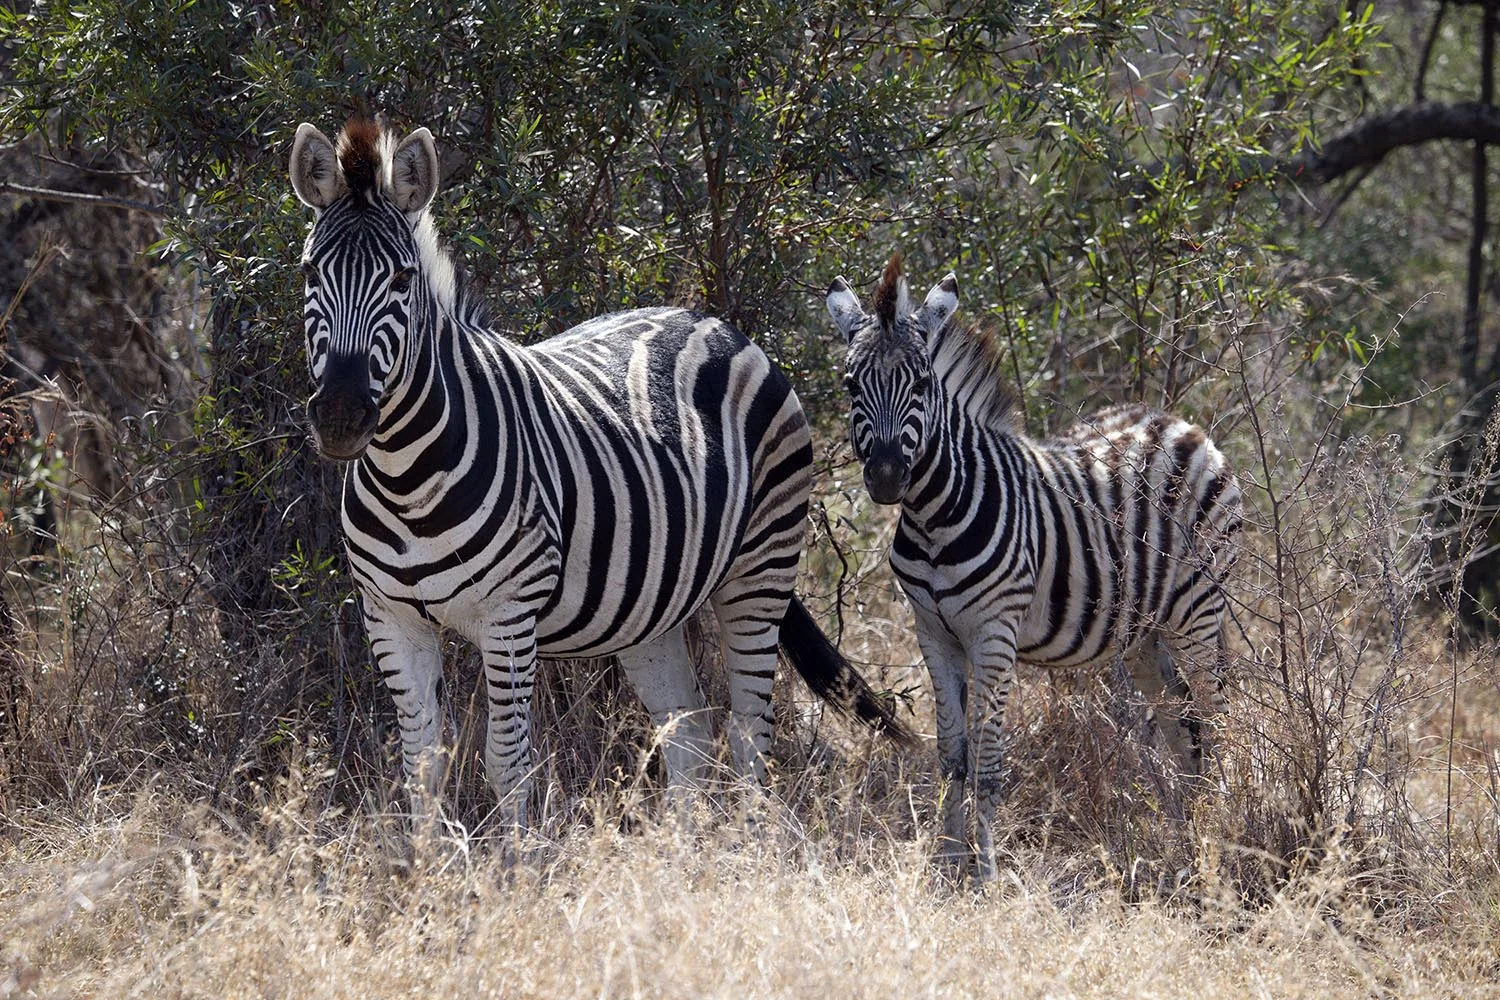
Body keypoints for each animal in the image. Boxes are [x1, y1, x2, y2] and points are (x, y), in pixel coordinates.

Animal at [286, 118, 909, 830]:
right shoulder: (391, 617)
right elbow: (422, 766)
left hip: (762, 565)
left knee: (751, 733)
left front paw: (516, 858)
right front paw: (429, 862)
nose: (340, 416)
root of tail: (712, 321)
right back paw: (679, 851)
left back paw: (746, 844)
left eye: (400, 279)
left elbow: (507, 764)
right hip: (650, 607)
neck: (405, 476)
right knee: (690, 732)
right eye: (309, 271)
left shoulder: (509, 615)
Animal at [826, 255, 1242, 881]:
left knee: (1213, 718)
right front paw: (946, 865)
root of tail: (1174, 423)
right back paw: (1186, 840)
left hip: (1198, 610)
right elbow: (952, 757)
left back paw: (1222, 833)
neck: (932, 517)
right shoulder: (932, 633)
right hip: (1144, 634)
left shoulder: (994, 635)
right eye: (851, 384)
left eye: (921, 384)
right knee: (1182, 724)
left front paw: (985, 875)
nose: (886, 477)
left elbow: (988, 762)